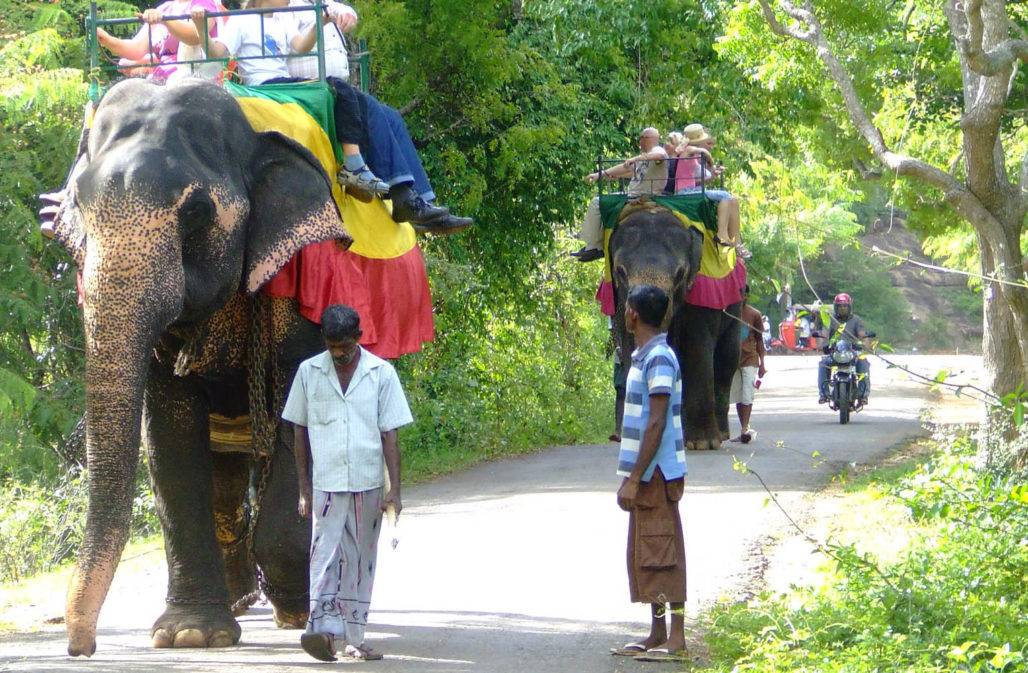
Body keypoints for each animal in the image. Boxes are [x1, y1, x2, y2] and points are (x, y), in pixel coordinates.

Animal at [45, 76, 353, 657]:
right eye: (79, 210)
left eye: (194, 212)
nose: (80, 647)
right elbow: (169, 439)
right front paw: (190, 634)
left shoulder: (302, 276)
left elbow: (297, 416)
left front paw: (296, 606)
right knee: (226, 483)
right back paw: (235, 601)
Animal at [604, 205, 744, 447]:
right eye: (620, 271)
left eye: (680, 273)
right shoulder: (619, 302)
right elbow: (630, 347)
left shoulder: (700, 296)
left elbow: (697, 348)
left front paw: (702, 444)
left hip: (736, 308)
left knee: (727, 359)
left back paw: (720, 435)